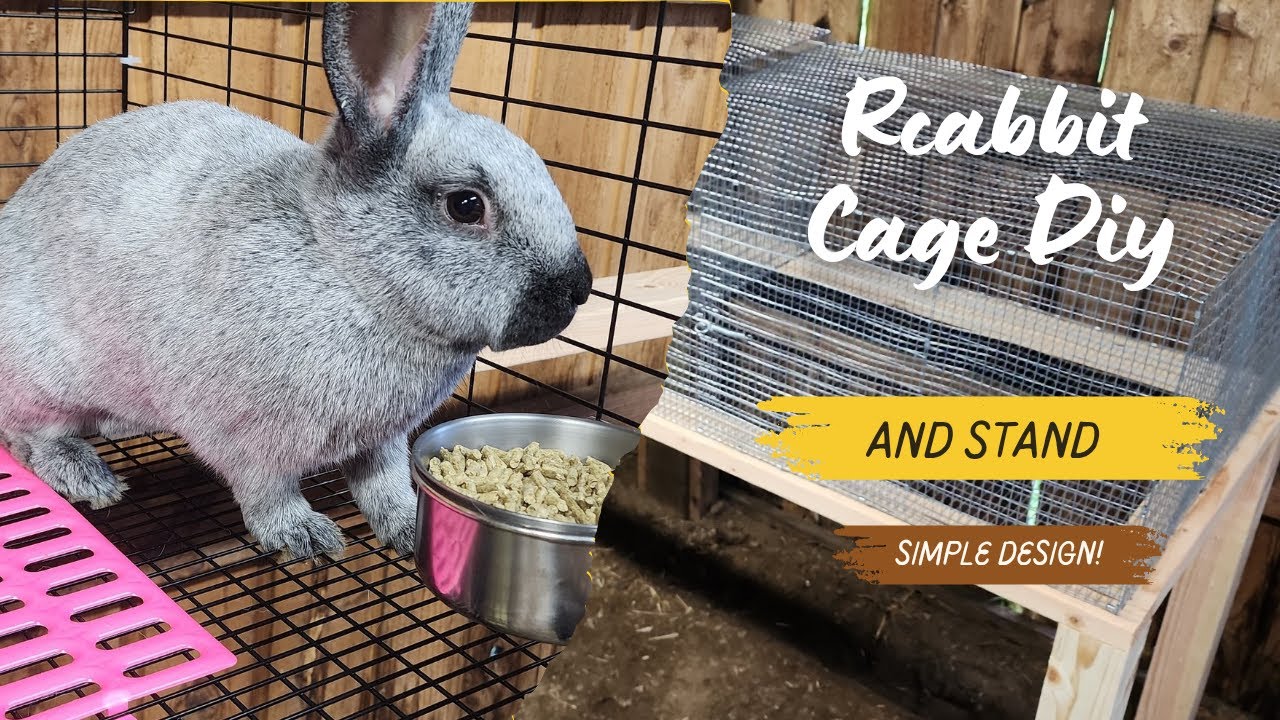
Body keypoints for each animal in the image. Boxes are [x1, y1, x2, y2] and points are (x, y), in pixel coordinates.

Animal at [0, 1, 592, 561]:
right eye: (466, 205)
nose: (578, 289)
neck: (349, 273)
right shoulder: (246, 443)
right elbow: (267, 493)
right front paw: (304, 536)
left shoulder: (383, 440)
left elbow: (385, 484)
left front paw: (408, 528)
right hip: (43, 375)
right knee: (31, 438)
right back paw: (89, 478)